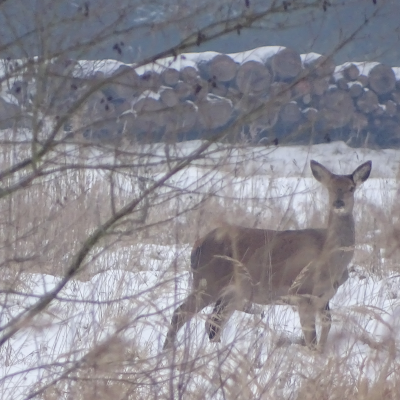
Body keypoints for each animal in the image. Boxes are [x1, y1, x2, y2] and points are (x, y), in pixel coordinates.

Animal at [162, 161, 372, 352]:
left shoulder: (325, 296)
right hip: (207, 280)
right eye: (330, 188)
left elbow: (325, 332)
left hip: (234, 291)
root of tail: (197, 244)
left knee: (213, 322)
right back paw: (168, 349)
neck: (329, 257)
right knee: (181, 313)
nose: (339, 203)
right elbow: (311, 339)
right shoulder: (301, 293)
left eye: (351, 188)